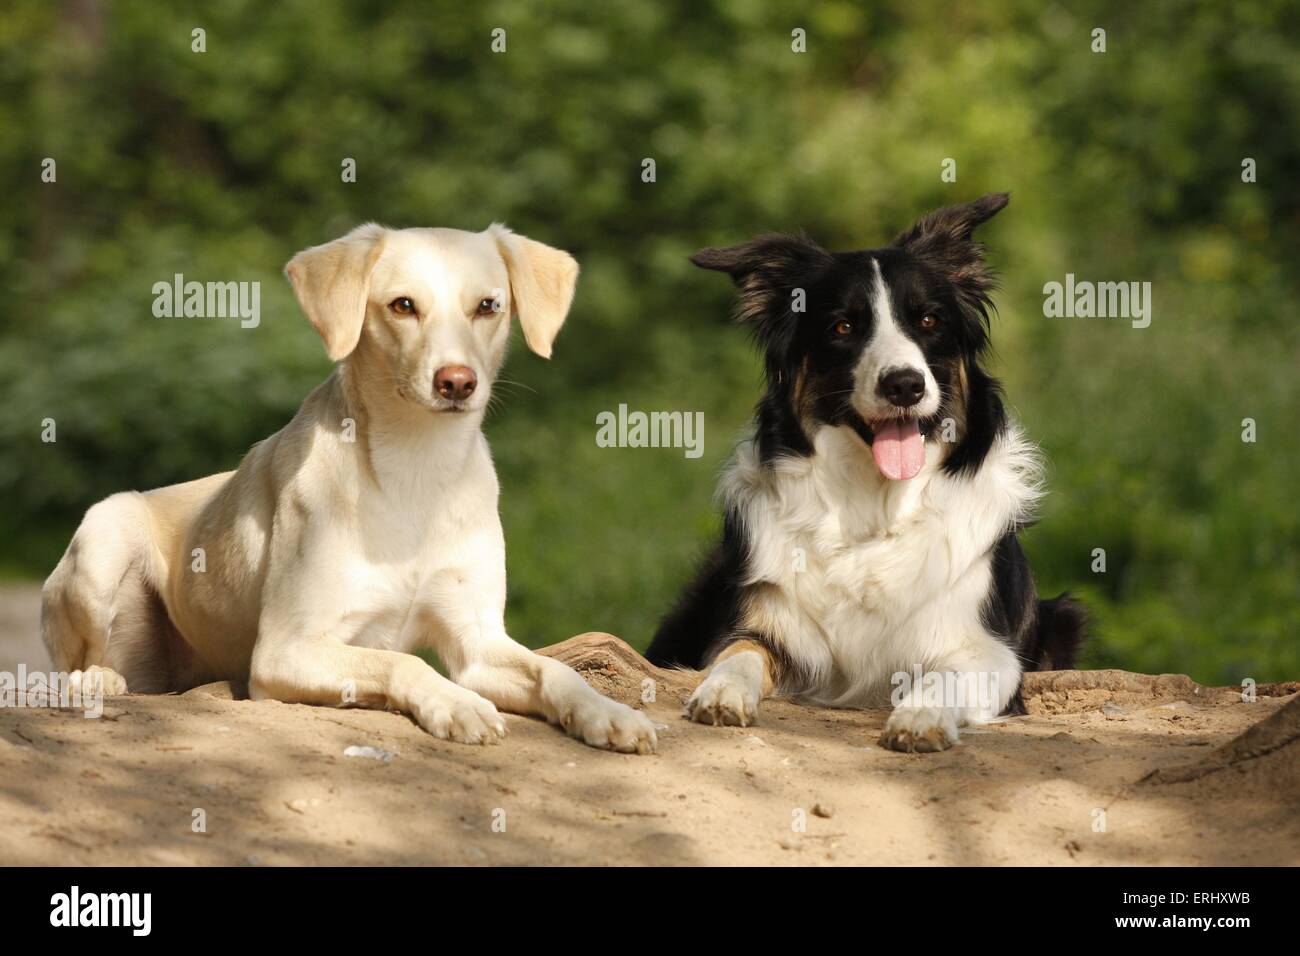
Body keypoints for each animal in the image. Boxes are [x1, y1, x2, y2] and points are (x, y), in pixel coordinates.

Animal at [41, 223, 660, 754]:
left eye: (487, 305)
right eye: (403, 305)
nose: (457, 382)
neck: (416, 470)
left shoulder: (478, 643)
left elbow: (555, 668)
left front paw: (608, 713)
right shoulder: (286, 650)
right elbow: (403, 662)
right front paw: (456, 704)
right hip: (104, 536)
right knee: (80, 660)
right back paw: (96, 679)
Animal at [650, 195, 1086, 754]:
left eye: (929, 320)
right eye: (842, 328)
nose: (904, 384)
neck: (875, 510)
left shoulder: (989, 651)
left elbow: (944, 676)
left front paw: (919, 717)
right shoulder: (765, 625)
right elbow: (737, 654)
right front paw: (720, 693)